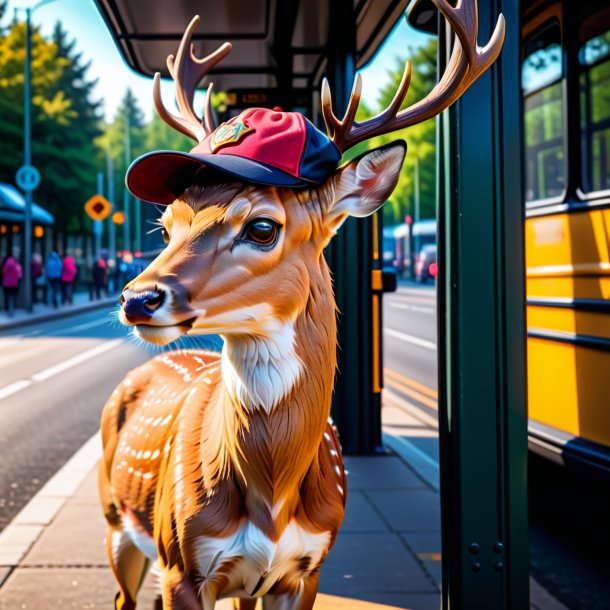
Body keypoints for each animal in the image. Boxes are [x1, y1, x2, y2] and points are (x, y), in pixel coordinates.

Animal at [97, 2, 502, 604]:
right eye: (166, 225)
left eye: (263, 227)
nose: (137, 298)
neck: (273, 495)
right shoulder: (181, 564)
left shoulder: (306, 569)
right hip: (116, 521)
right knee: (123, 595)